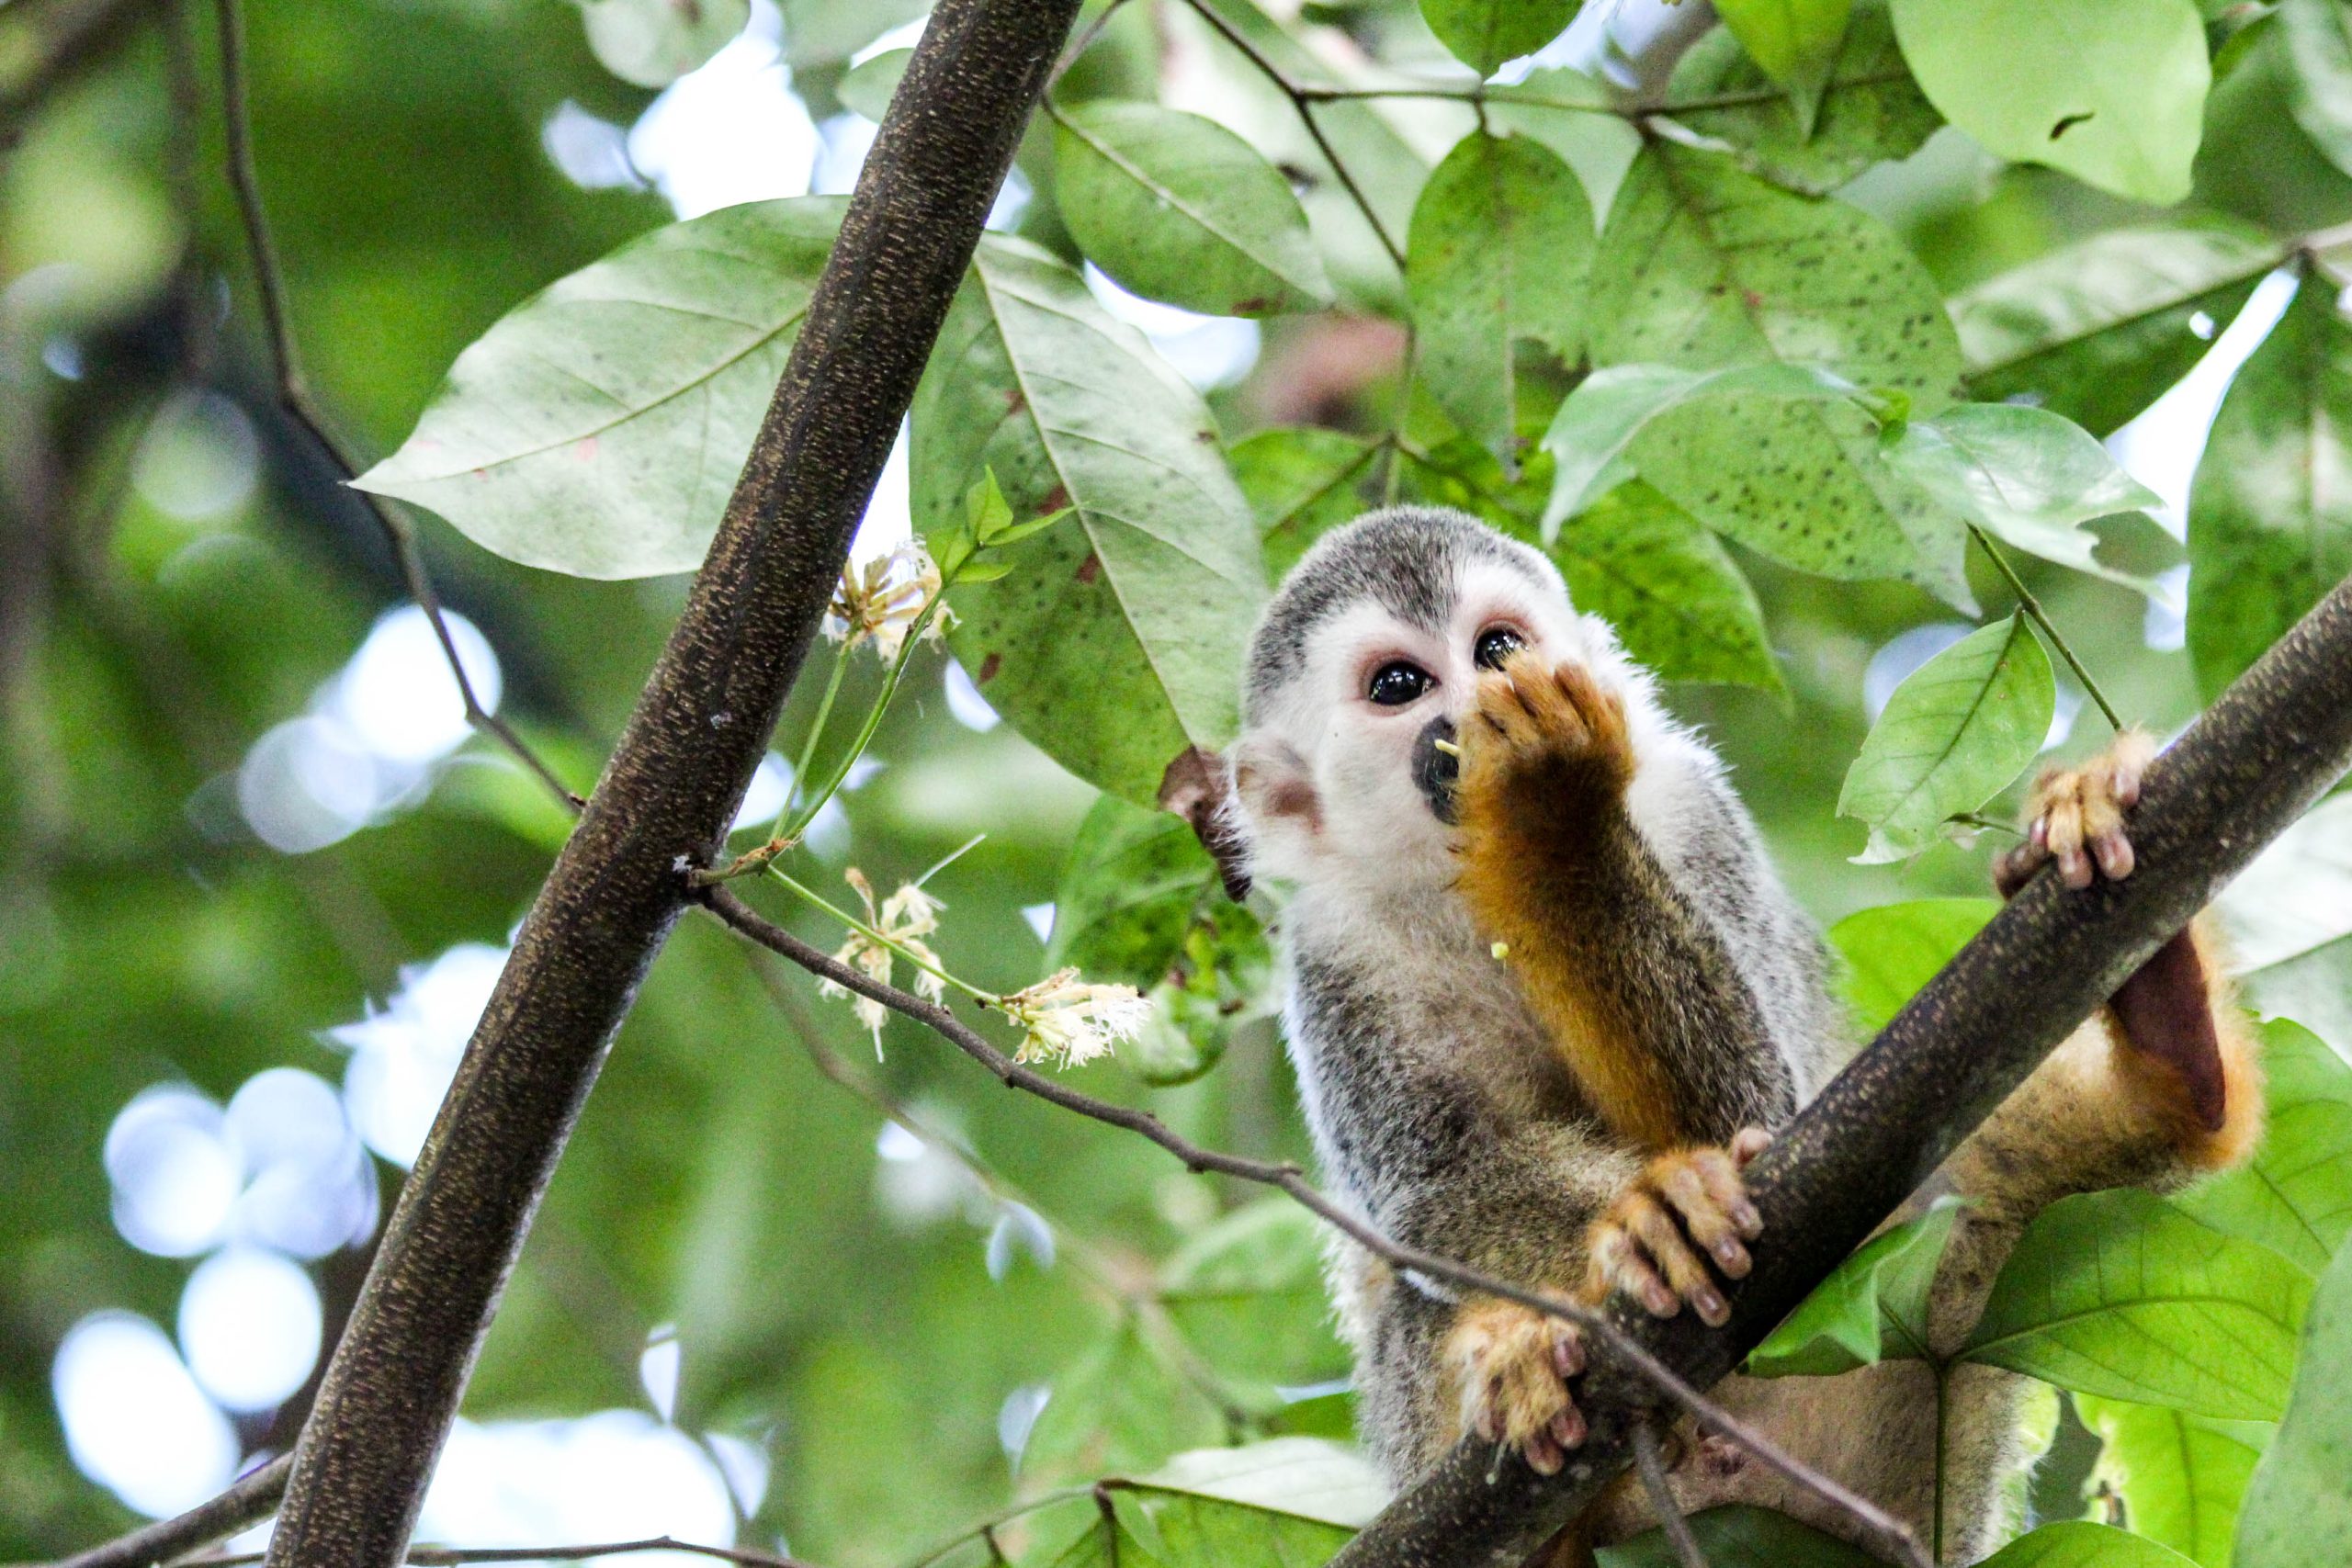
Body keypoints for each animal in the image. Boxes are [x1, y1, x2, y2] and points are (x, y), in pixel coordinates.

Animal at [1222, 506, 2261, 1563]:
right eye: (1400, 685)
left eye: (1497, 649)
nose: (1473, 705)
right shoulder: (1329, 947)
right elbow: (1432, 1191)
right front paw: (1644, 1221)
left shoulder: (1691, 806)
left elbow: (1757, 1100)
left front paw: (1550, 807)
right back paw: (1518, 1374)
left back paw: (2172, 1035)